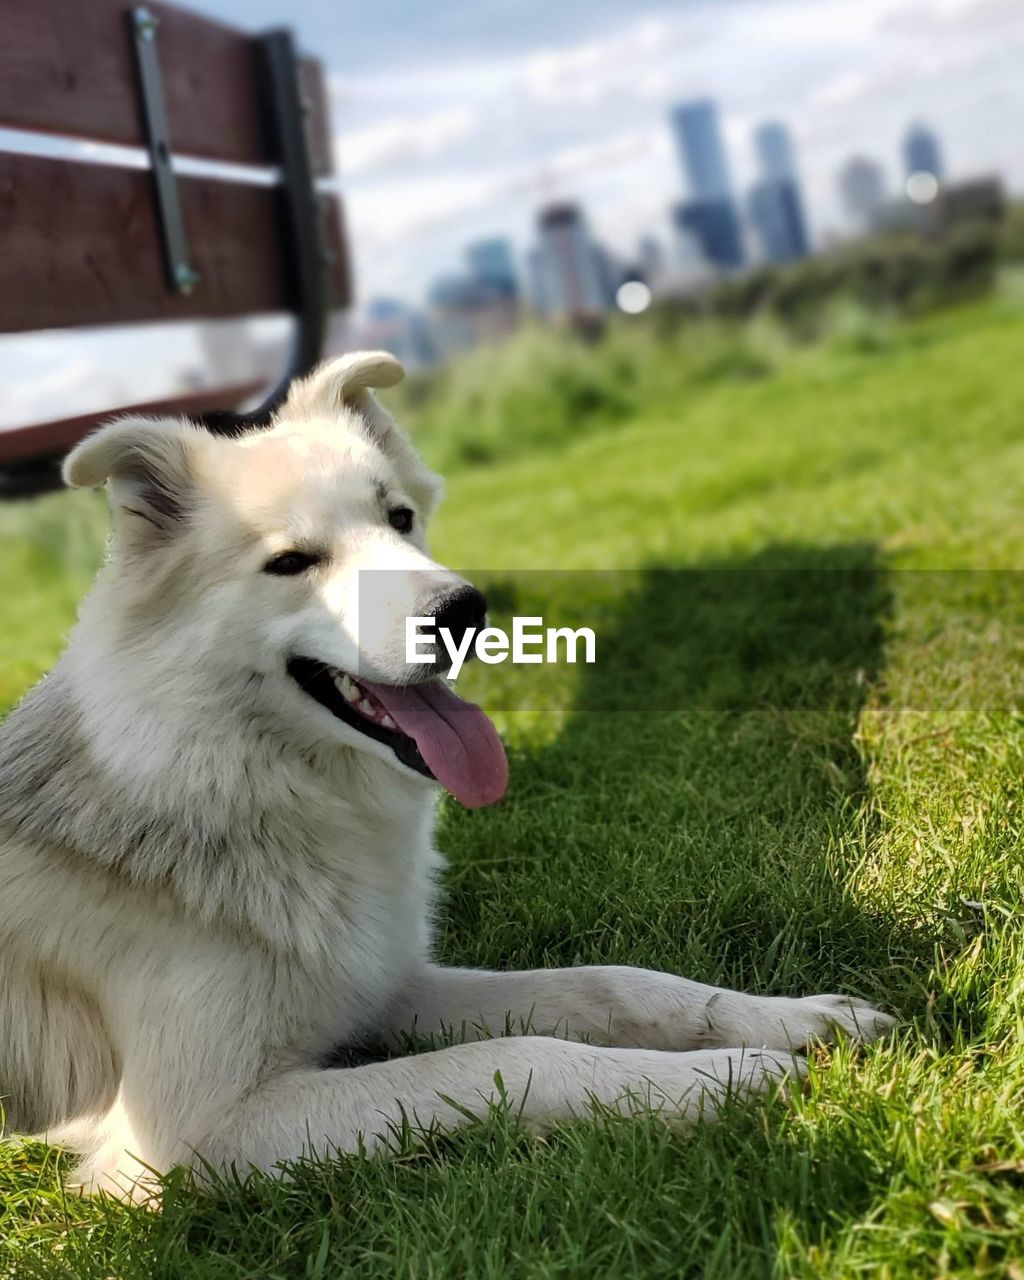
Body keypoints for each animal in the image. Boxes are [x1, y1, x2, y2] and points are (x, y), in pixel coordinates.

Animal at [0, 353, 896, 1198]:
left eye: (400, 519)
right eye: (291, 562)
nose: (468, 611)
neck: (235, 787)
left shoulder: (385, 986)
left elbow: (609, 985)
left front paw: (788, 1020)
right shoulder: (194, 1135)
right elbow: (511, 1056)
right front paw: (721, 1078)